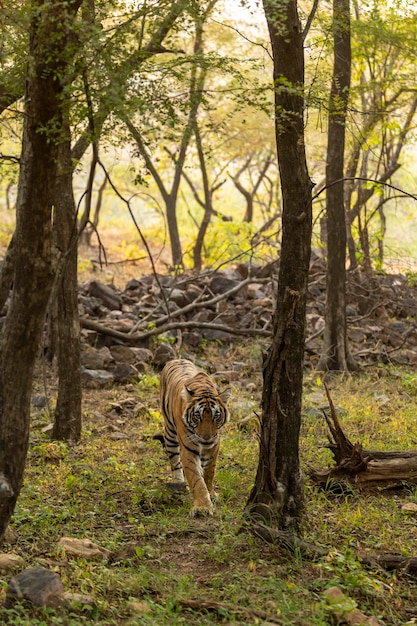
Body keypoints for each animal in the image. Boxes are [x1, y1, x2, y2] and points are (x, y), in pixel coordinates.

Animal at [158, 358, 231, 516]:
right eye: (198, 415)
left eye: (216, 415)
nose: (207, 438)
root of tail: (177, 358)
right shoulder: (188, 449)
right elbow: (196, 479)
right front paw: (202, 507)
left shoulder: (214, 447)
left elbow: (209, 472)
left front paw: (211, 494)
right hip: (170, 432)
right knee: (174, 459)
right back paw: (178, 482)